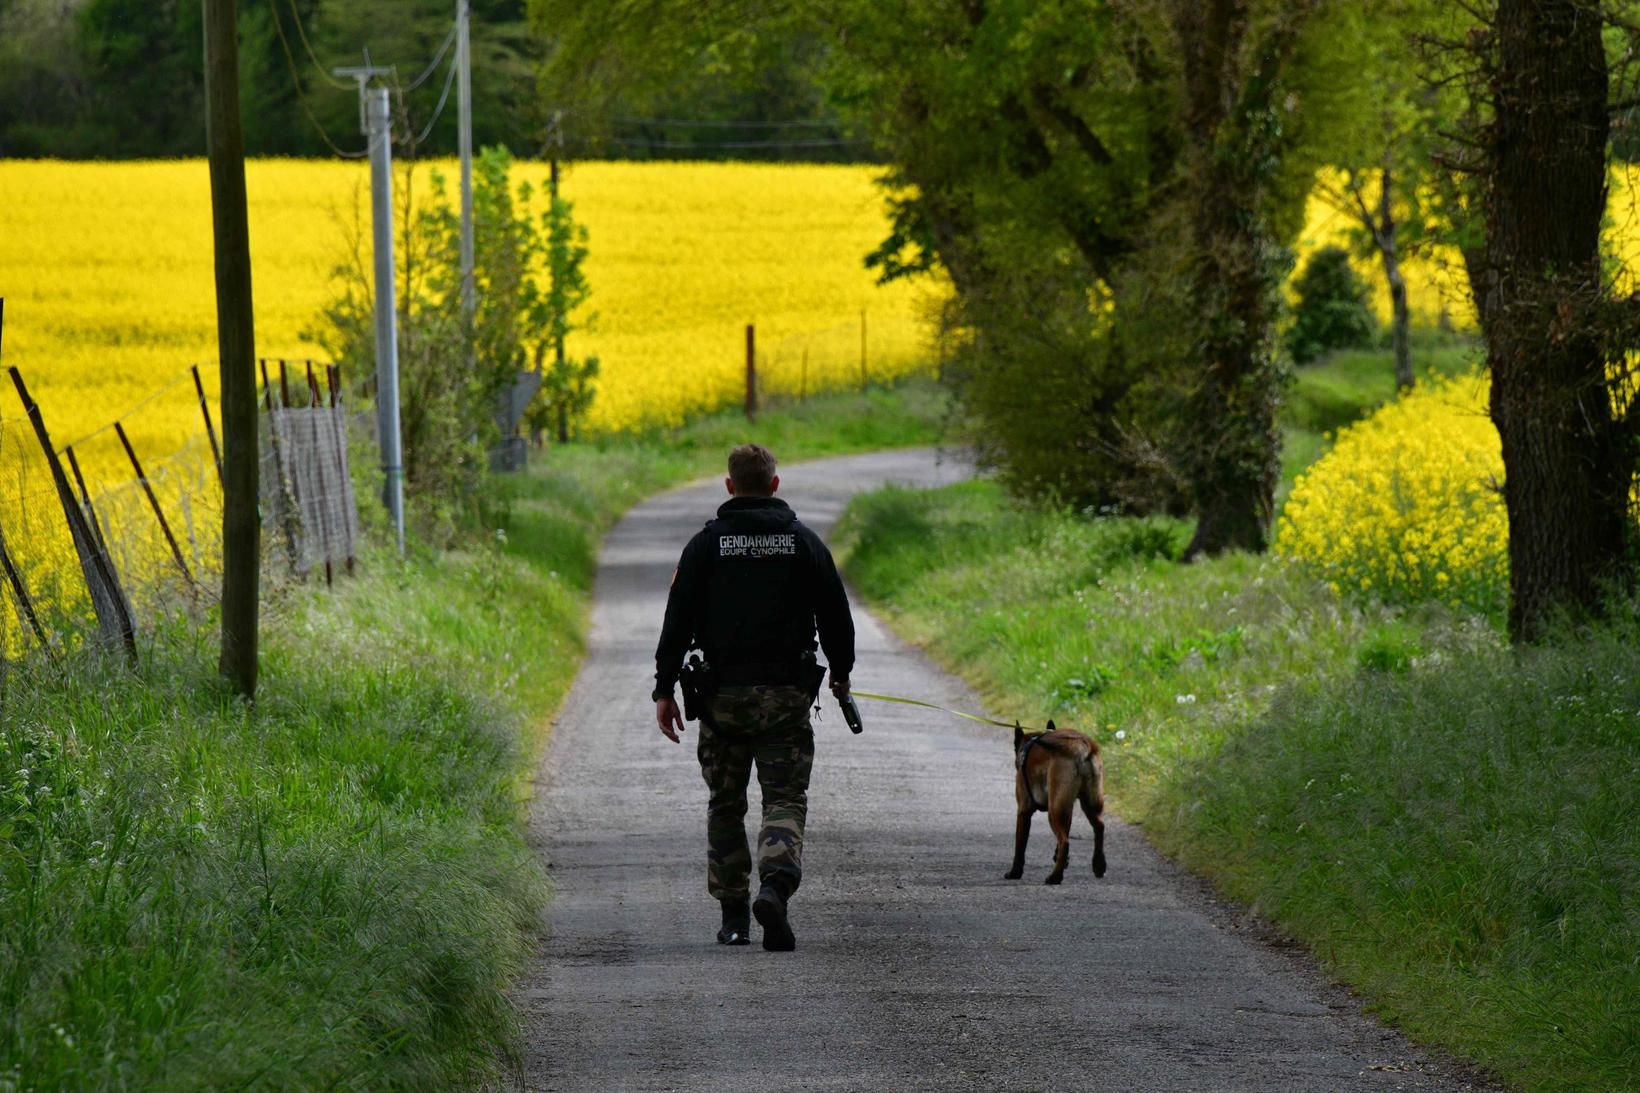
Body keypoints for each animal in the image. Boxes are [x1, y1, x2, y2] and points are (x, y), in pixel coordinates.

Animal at [1003, 718, 1108, 879]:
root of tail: (1082, 746)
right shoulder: (1067, 809)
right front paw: (1061, 859)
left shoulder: (1023, 812)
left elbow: (1020, 846)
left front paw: (1015, 872)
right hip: (1087, 804)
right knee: (1099, 827)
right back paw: (1098, 865)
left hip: (1054, 811)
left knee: (1065, 841)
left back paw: (1055, 877)